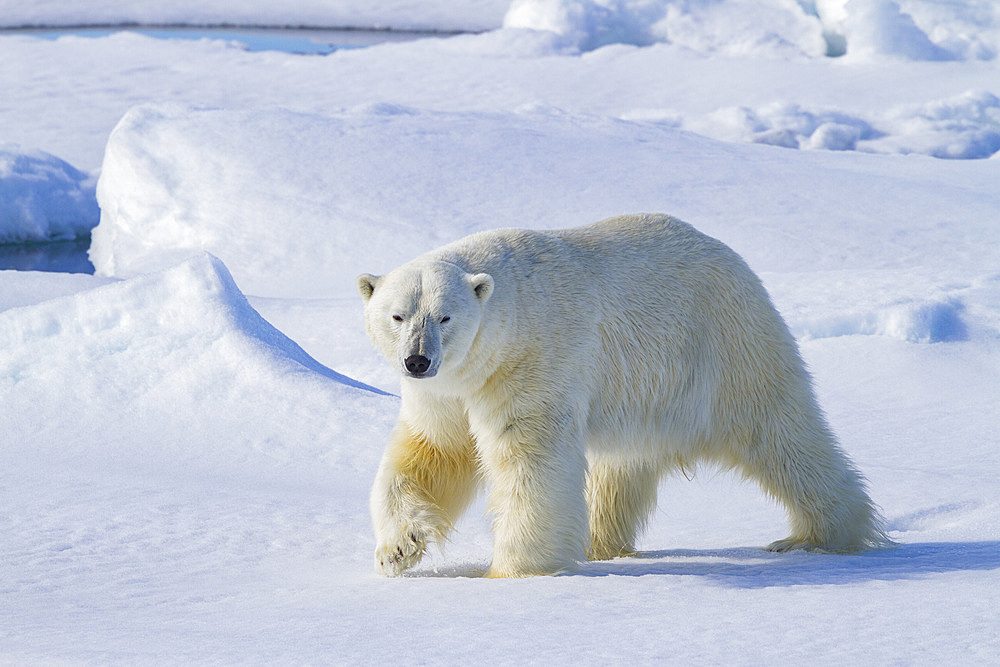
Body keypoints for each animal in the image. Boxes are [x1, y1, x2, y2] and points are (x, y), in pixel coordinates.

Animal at [360, 215, 892, 580]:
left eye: (444, 316)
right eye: (398, 315)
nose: (417, 361)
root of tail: (732, 257)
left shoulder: (531, 360)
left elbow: (529, 458)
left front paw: (514, 571)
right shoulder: (448, 390)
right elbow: (434, 452)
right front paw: (398, 549)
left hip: (725, 346)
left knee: (782, 434)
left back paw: (818, 537)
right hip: (641, 392)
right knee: (620, 469)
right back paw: (600, 544)